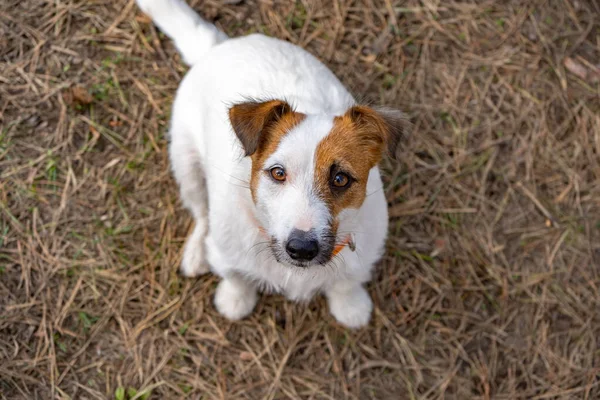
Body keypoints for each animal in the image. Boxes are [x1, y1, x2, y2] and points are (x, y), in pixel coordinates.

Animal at [136, 0, 408, 328]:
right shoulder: (229, 252)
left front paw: (351, 306)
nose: (302, 249)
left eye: (341, 179)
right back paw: (197, 251)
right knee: (201, 212)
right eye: (278, 173)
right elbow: (235, 276)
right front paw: (235, 300)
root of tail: (220, 46)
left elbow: (347, 282)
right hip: (185, 162)